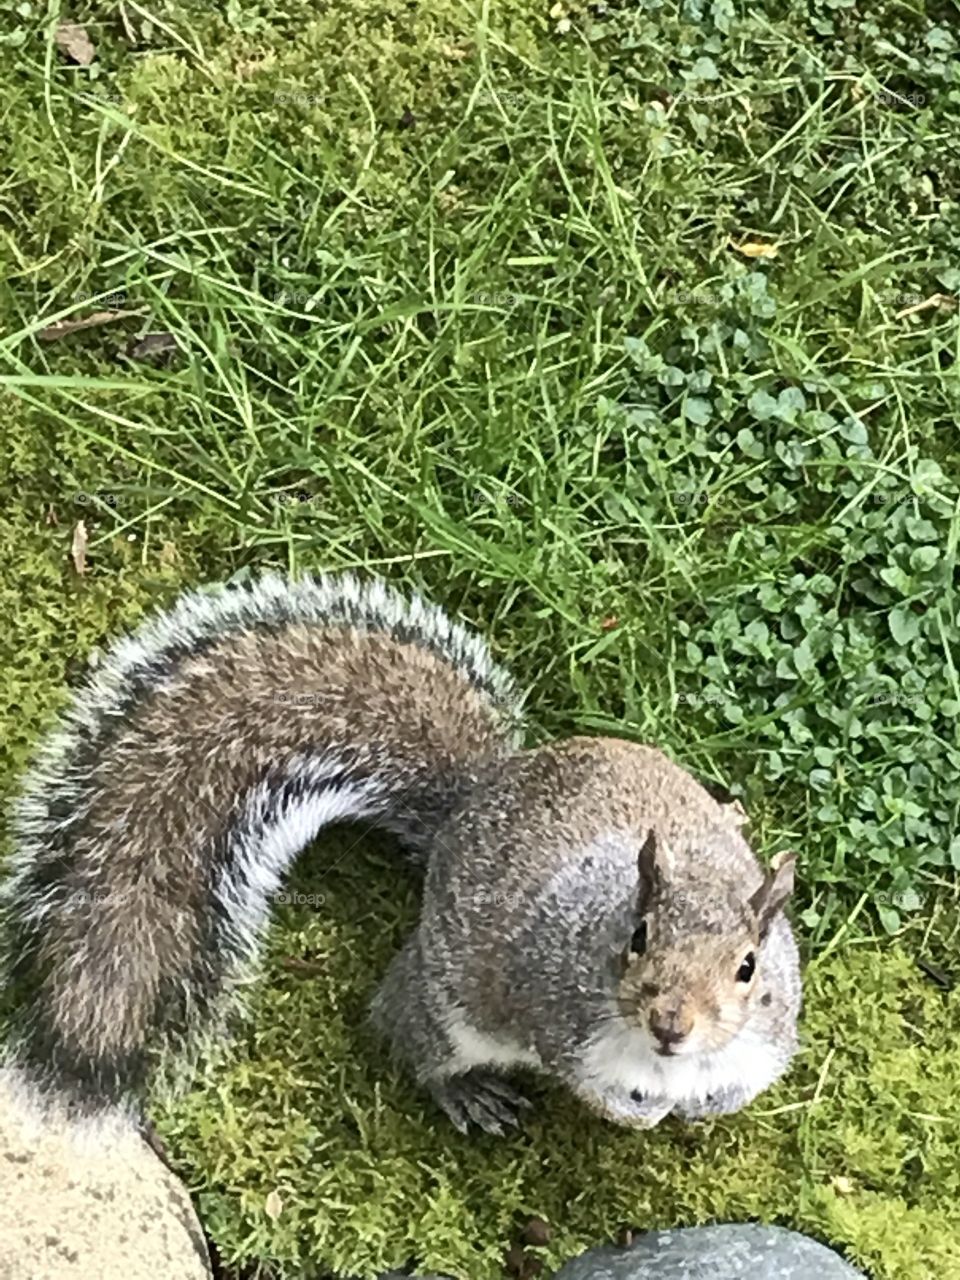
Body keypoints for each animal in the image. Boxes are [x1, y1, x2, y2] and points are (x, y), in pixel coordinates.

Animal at [0, 572, 801, 1139]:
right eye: (637, 938)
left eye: (748, 967)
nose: (671, 1024)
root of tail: (474, 799)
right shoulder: (559, 1014)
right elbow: (587, 1082)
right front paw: (637, 1112)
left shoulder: (763, 1040)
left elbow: (739, 1085)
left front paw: (696, 1109)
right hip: (445, 1006)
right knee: (404, 1028)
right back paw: (465, 1090)